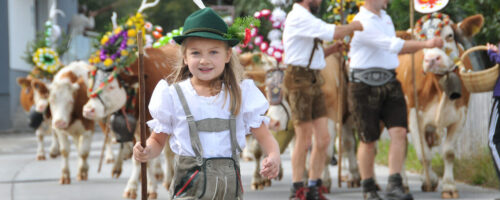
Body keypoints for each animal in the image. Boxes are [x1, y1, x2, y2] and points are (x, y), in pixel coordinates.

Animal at [83, 43, 181, 198]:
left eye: (111, 86)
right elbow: (138, 158)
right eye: (92, 85)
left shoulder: (147, 124)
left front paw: (151, 188)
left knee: (168, 152)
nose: (88, 110)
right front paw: (133, 187)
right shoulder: (137, 127)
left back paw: (168, 179)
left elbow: (149, 158)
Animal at [238, 50, 360, 191]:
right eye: (267, 90)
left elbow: (326, 152)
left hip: (347, 117)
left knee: (348, 143)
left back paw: (353, 176)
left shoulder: (329, 118)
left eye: (287, 92)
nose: (273, 122)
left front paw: (324, 181)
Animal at [394, 12, 484, 198]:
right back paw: (405, 183)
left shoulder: (460, 117)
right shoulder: (414, 118)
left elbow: (448, 153)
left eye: (449, 35)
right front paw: (432, 180)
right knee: (402, 149)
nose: (432, 59)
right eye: (418, 40)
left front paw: (449, 186)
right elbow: (424, 155)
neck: (440, 86)